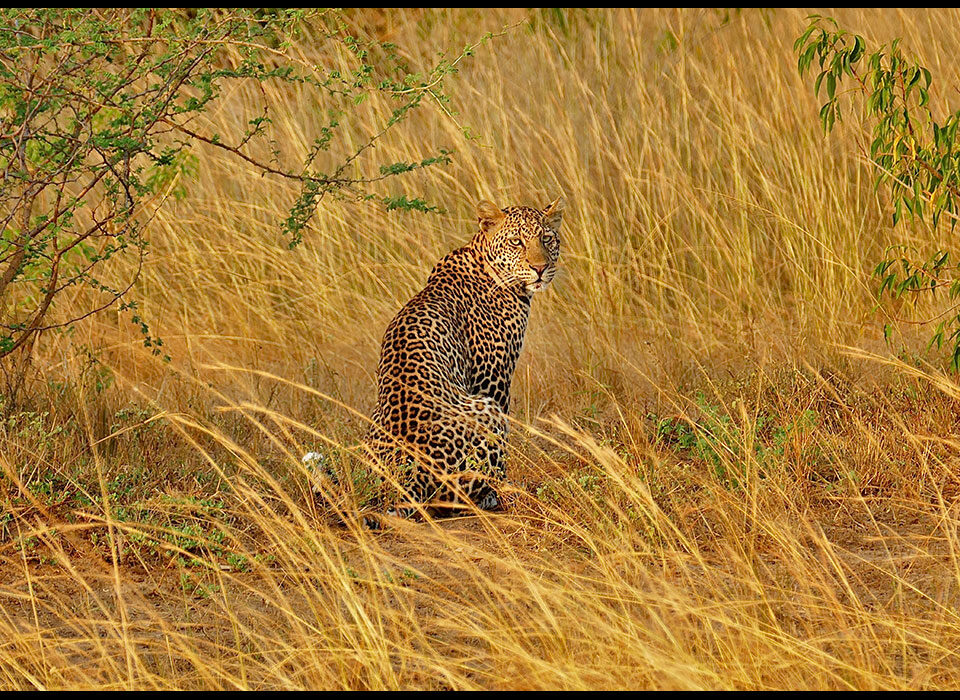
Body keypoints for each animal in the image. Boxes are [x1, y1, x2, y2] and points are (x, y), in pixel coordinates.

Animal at [366, 194, 564, 516]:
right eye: (517, 242)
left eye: (546, 239)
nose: (540, 268)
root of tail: (411, 476)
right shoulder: (492, 378)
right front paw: (503, 485)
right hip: (485, 408)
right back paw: (496, 494)